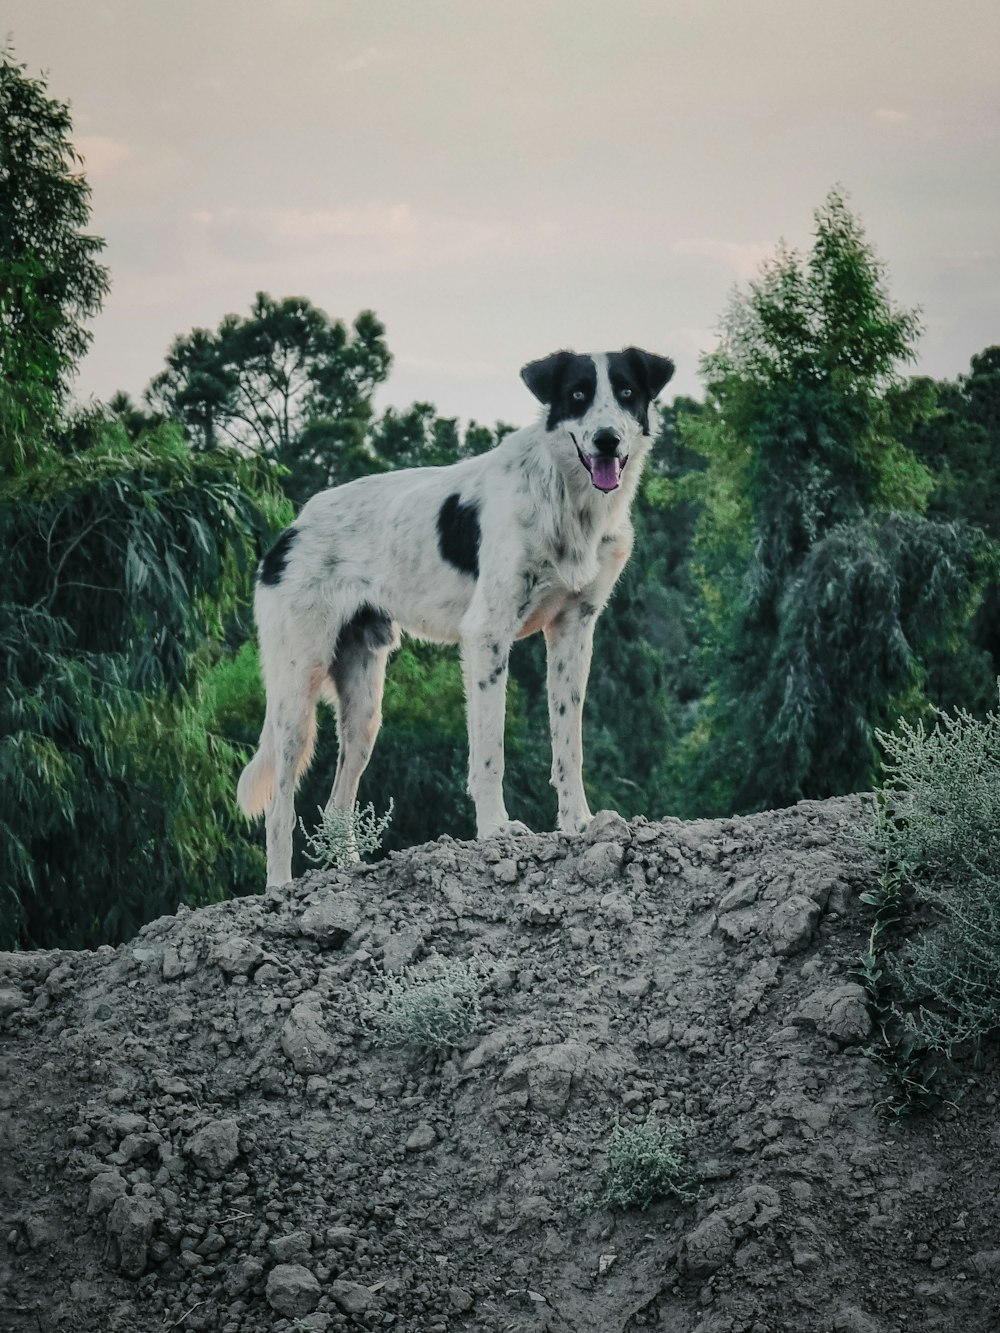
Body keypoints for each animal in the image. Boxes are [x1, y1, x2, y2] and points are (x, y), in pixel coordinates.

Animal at [237, 349, 674, 879]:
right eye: (577, 395)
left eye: (627, 392)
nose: (606, 438)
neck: (567, 499)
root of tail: (291, 530)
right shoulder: (487, 635)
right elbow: (489, 752)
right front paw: (496, 829)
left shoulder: (573, 631)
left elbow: (568, 746)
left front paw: (579, 822)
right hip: (297, 696)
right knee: (279, 810)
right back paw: (280, 886)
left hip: (363, 712)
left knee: (337, 805)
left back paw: (349, 870)